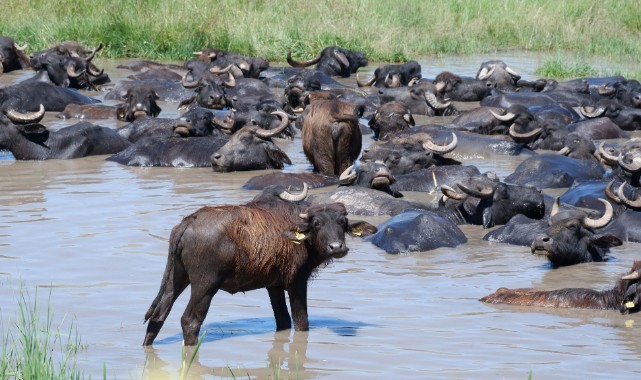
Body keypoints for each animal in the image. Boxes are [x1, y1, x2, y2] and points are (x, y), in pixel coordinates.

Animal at [142, 196, 378, 348]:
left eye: (342, 222)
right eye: (317, 223)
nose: (337, 247)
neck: (300, 238)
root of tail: (190, 221)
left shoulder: (273, 286)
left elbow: (283, 320)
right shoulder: (296, 282)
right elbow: (301, 321)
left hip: (177, 278)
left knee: (158, 315)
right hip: (205, 285)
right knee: (190, 321)